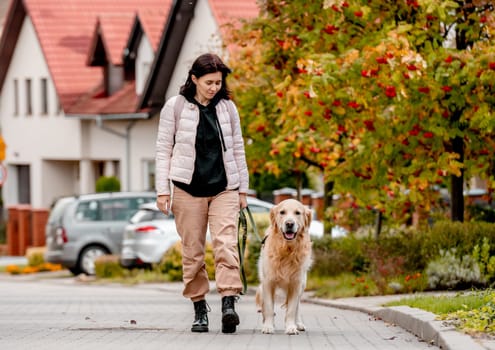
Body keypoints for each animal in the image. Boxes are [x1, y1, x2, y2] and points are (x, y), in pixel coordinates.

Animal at [258, 200, 312, 334]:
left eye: (297, 213)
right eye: (282, 212)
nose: (289, 224)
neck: (287, 250)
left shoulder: (296, 283)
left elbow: (292, 309)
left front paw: (291, 327)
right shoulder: (268, 282)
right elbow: (269, 307)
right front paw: (268, 326)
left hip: (302, 284)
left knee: (298, 306)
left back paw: (298, 324)